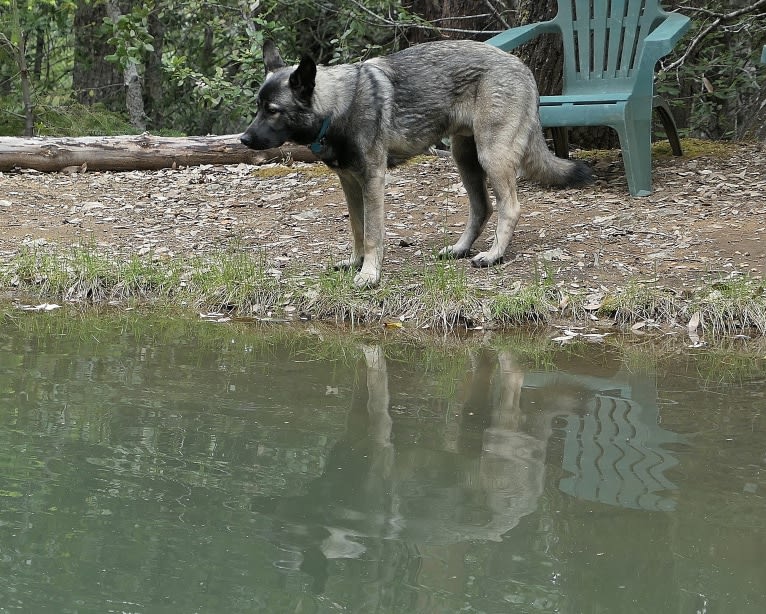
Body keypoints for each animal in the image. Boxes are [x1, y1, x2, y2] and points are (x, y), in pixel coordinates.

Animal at [242, 39, 592, 288]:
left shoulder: (372, 181)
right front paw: (356, 262)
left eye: (273, 110)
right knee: (482, 208)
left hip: (491, 156)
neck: (338, 105)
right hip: (465, 159)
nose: (244, 140)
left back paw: (493, 255)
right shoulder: (350, 183)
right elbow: (357, 229)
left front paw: (369, 274)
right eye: (258, 106)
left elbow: (372, 233)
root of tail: (521, 66)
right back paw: (459, 249)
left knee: (510, 207)